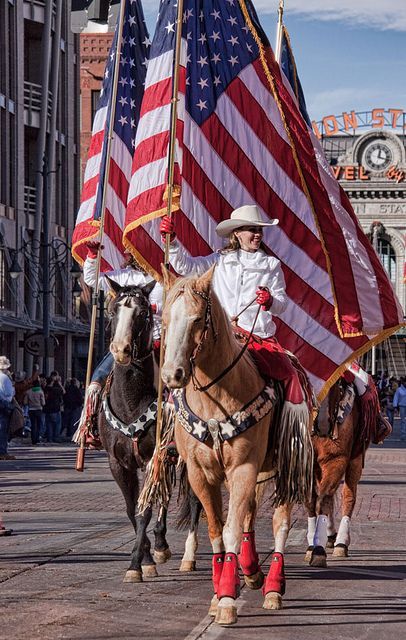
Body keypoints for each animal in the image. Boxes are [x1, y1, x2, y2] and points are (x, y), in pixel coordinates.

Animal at [160, 266, 312, 624]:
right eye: (164, 318)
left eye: (198, 319)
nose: (173, 375)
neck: (215, 397)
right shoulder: (201, 474)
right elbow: (217, 529)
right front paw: (219, 593)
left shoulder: (244, 467)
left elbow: (230, 530)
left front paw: (228, 597)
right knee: (249, 517)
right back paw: (252, 569)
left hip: (281, 467)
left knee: (280, 523)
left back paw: (272, 587)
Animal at [304, 378, 364, 568]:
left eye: (338, 383)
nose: (323, 424)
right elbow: (312, 500)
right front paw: (312, 545)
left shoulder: (337, 460)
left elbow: (324, 498)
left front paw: (318, 550)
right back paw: (330, 536)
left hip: (355, 460)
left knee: (348, 496)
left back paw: (341, 543)